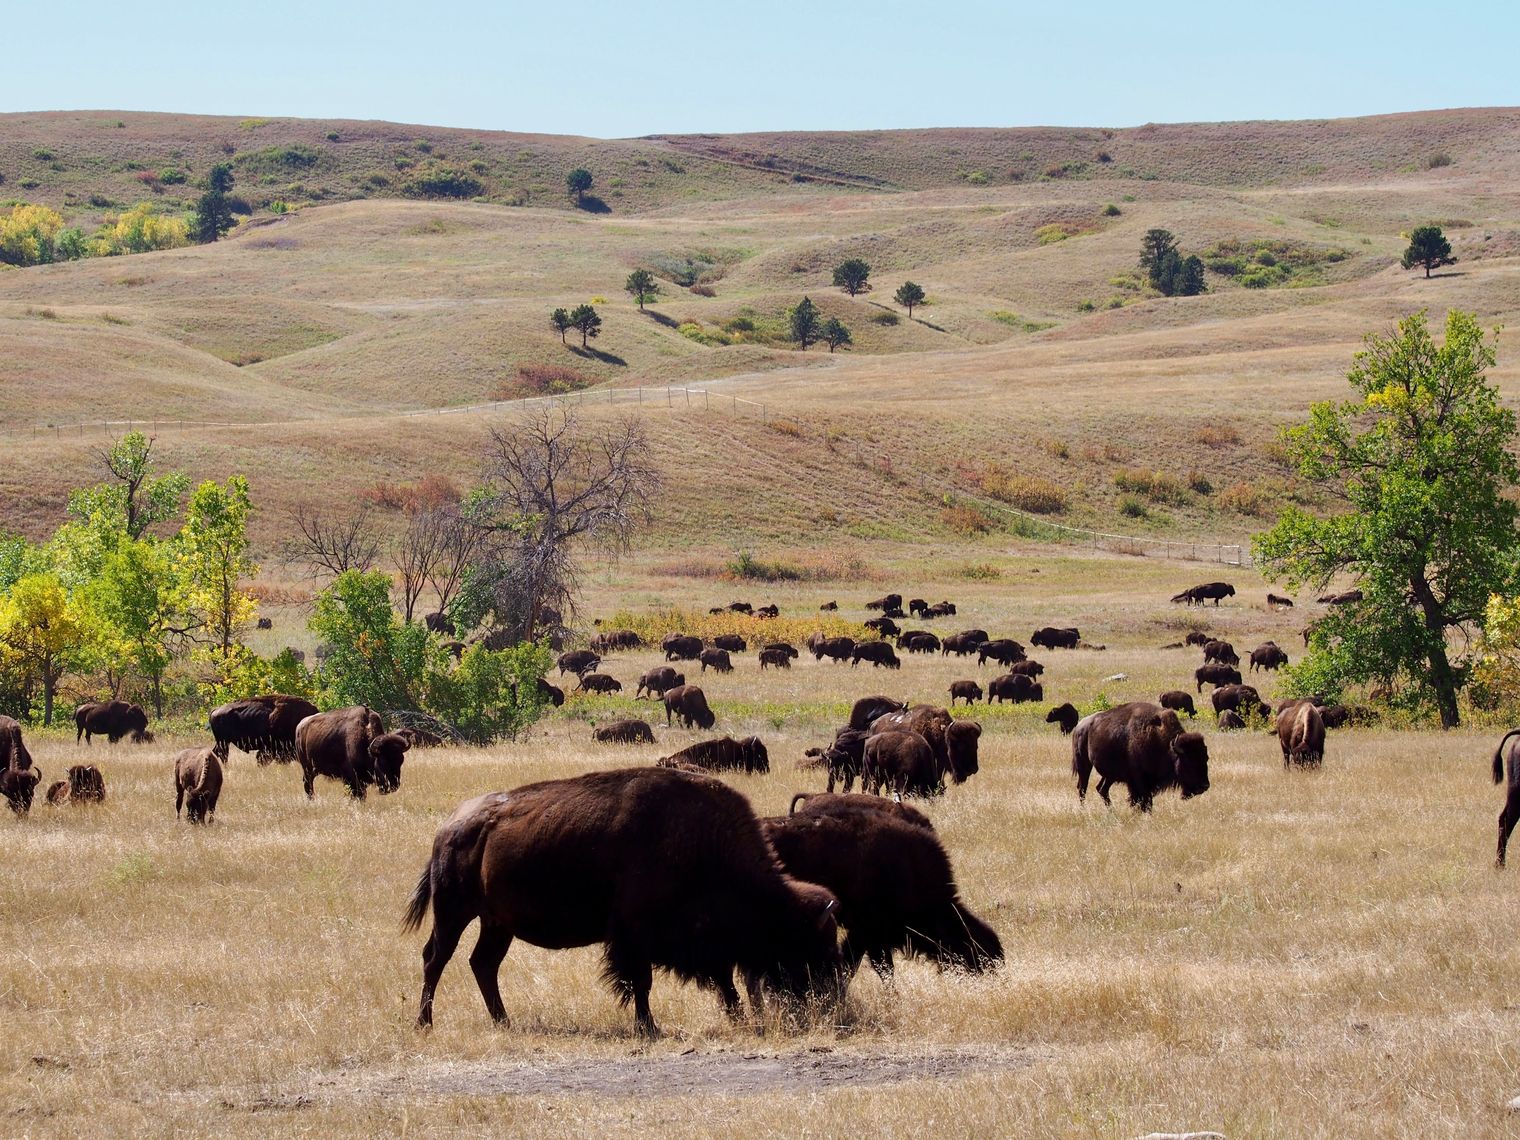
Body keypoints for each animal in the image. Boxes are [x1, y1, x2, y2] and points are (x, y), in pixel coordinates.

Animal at [403, 767, 844, 1034]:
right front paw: (649, 1028)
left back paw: (503, 1022)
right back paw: (424, 1023)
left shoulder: (700, 943)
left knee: (483, 964)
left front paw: (736, 1017)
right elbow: (641, 982)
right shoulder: (634, 936)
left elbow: (722, 980)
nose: (832, 1000)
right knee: (435, 958)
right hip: (454, 912)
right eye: (812, 942)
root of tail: (450, 826)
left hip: (497, 924)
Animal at [1072, 702, 1210, 811]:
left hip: (1110, 775)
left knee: (1101, 789)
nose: (1204, 786)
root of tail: (1079, 726)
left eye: (1205, 758)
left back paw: (1112, 811)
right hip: (1084, 764)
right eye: (1189, 760)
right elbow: (1142, 801)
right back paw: (1084, 810)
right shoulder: (1138, 782)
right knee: (1083, 787)